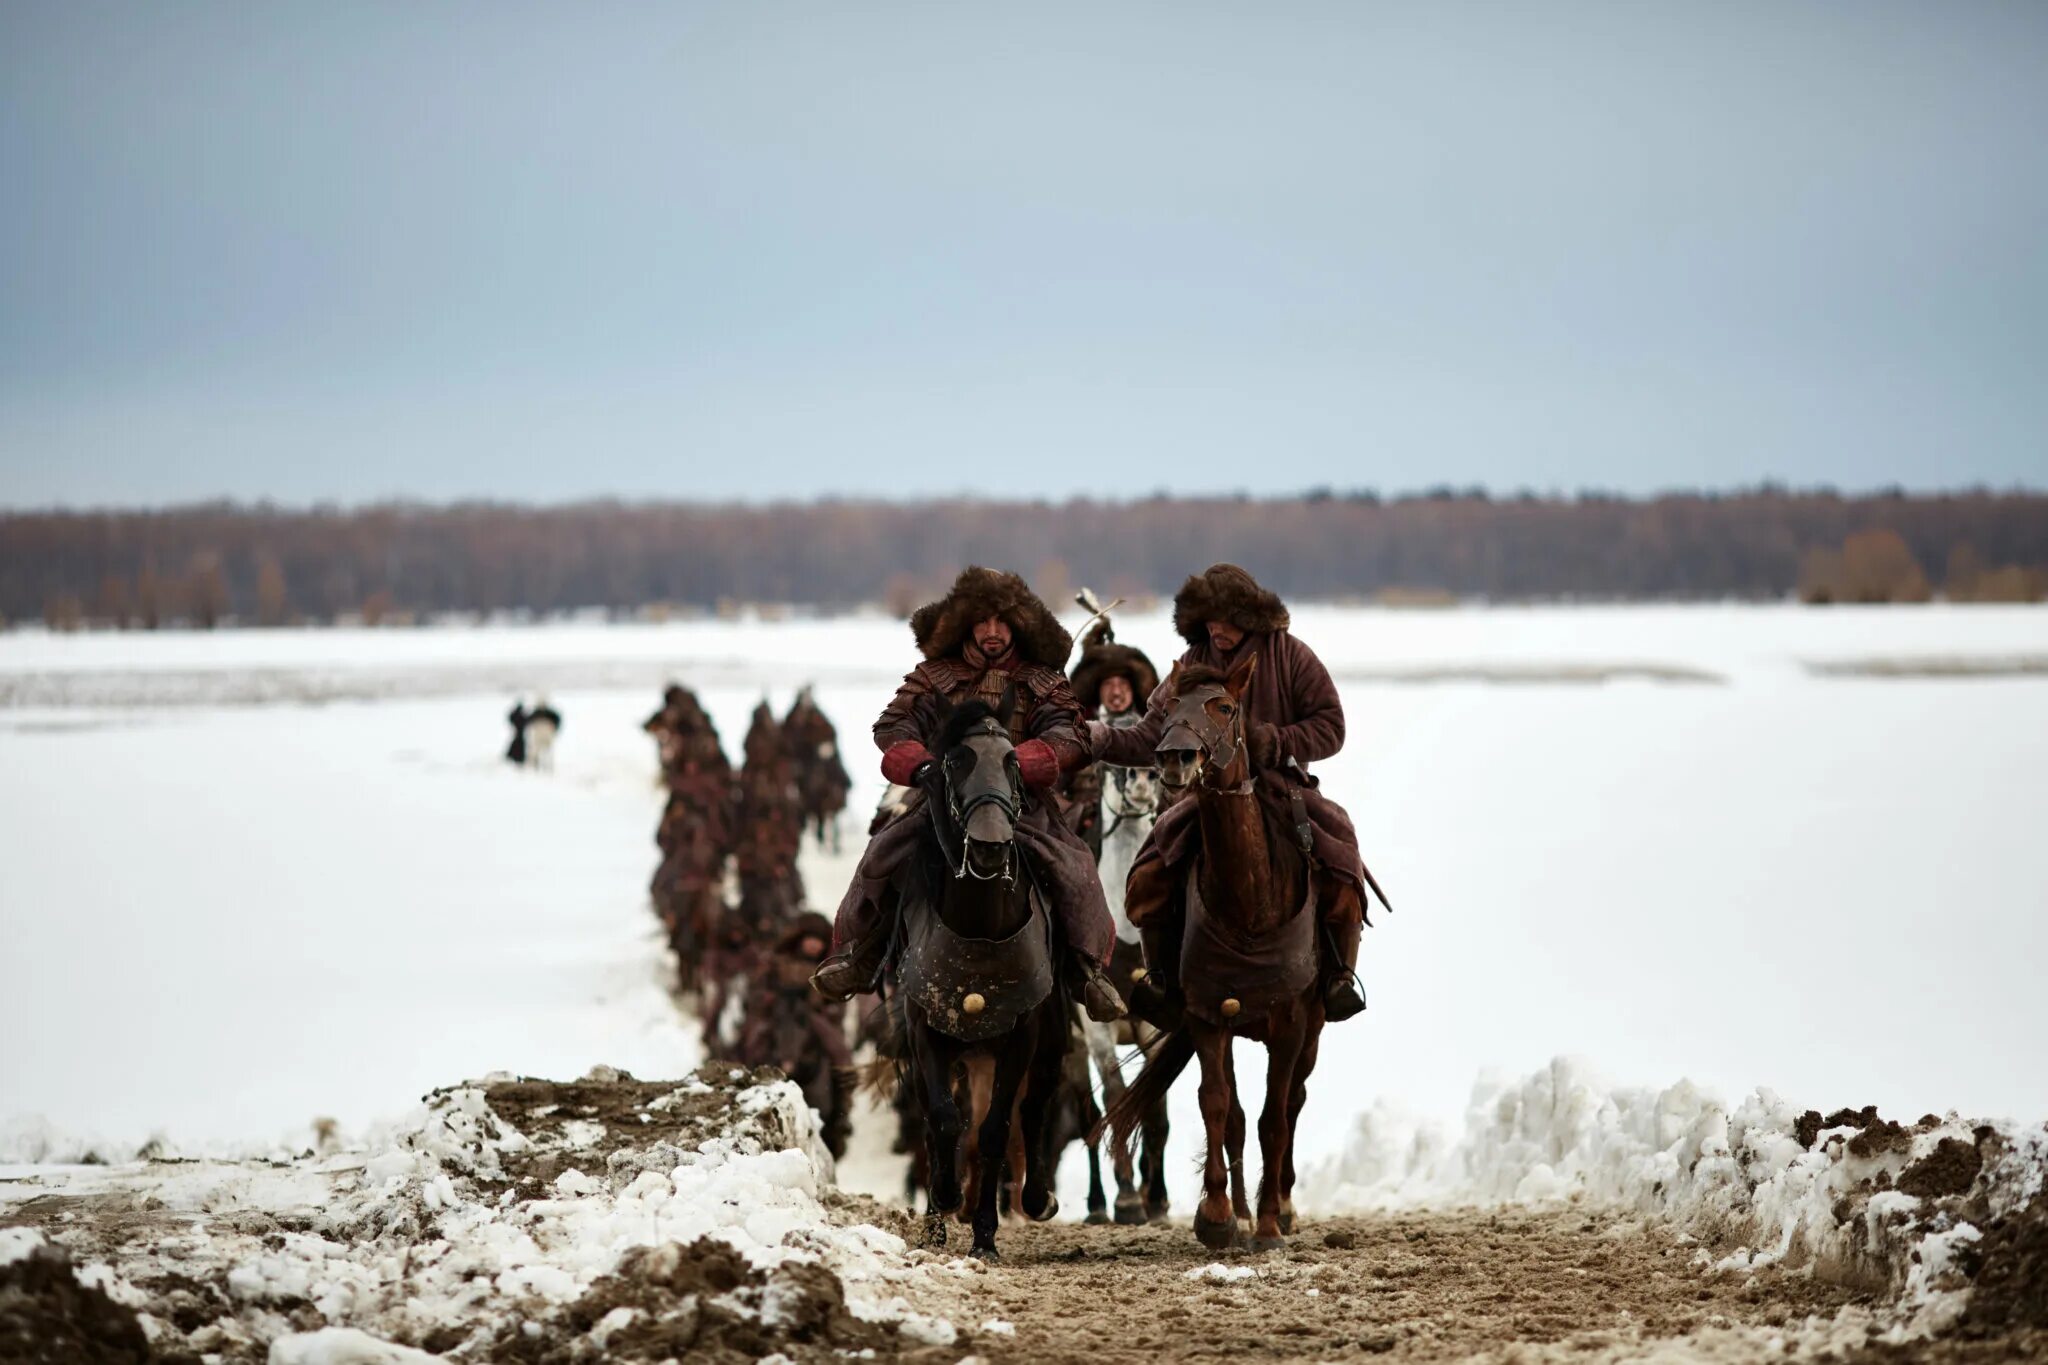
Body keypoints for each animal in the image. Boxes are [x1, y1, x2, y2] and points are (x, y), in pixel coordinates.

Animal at [1114, 654, 1318, 1252]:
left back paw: (1282, 1206)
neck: (1248, 906)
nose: (1175, 758)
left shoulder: (1292, 1022)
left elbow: (1276, 1117)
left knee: (1293, 1103)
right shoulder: (1208, 1014)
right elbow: (1218, 1104)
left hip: (1316, 1026)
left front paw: (1270, 1226)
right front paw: (1220, 1216)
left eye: (1224, 707)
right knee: (1237, 1114)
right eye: (1167, 709)